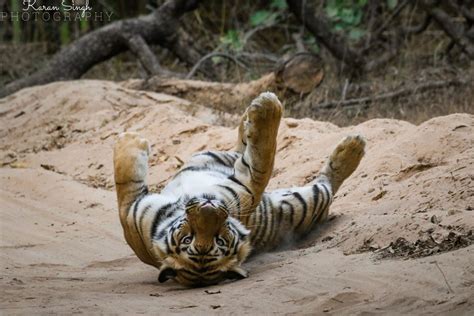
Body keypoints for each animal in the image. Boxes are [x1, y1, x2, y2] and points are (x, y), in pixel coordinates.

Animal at [113, 92, 364, 288]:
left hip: (210, 158)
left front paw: (128, 139)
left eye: (220, 241)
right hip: (306, 199)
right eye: (187, 239)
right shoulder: (243, 192)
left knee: (239, 149)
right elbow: (262, 164)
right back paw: (353, 147)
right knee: (327, 182)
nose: (209, 207)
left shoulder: (131, 207)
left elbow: (124, 179)